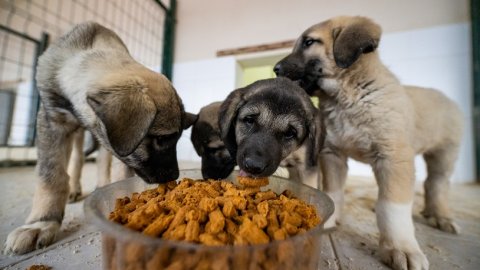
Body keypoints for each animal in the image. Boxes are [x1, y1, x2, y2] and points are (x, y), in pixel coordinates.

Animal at [3, 22, 195, 254]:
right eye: (162, 139)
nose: (174, 175)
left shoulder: (111, 141)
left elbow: (117, 168)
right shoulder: (52, 121)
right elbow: (51, 176)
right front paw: (41, 223)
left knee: (98, 160)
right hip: (78, 133)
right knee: (77, 158)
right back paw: (74, 189)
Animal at [276, 15, 464, 270]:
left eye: (309, 42)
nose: (275, 69)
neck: (347, 97)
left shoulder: (393, 157)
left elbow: (392, 207)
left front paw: (400, 247)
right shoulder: (332, 154)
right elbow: (334, 191)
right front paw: (328, 220)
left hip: (445, 154)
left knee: (437, 184)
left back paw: (440, 216)